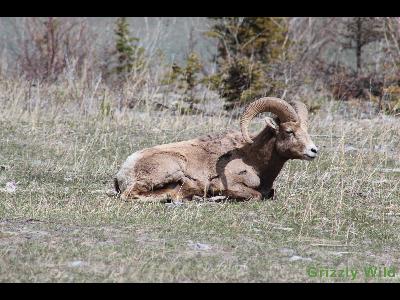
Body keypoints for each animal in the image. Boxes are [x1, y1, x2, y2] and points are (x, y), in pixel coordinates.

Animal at [112, 98, 318, 202]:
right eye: (289, 131)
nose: (313, 151)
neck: (253, 160)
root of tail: (122, 172)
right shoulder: (228, 185)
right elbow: (257, 195)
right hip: (173, 167)